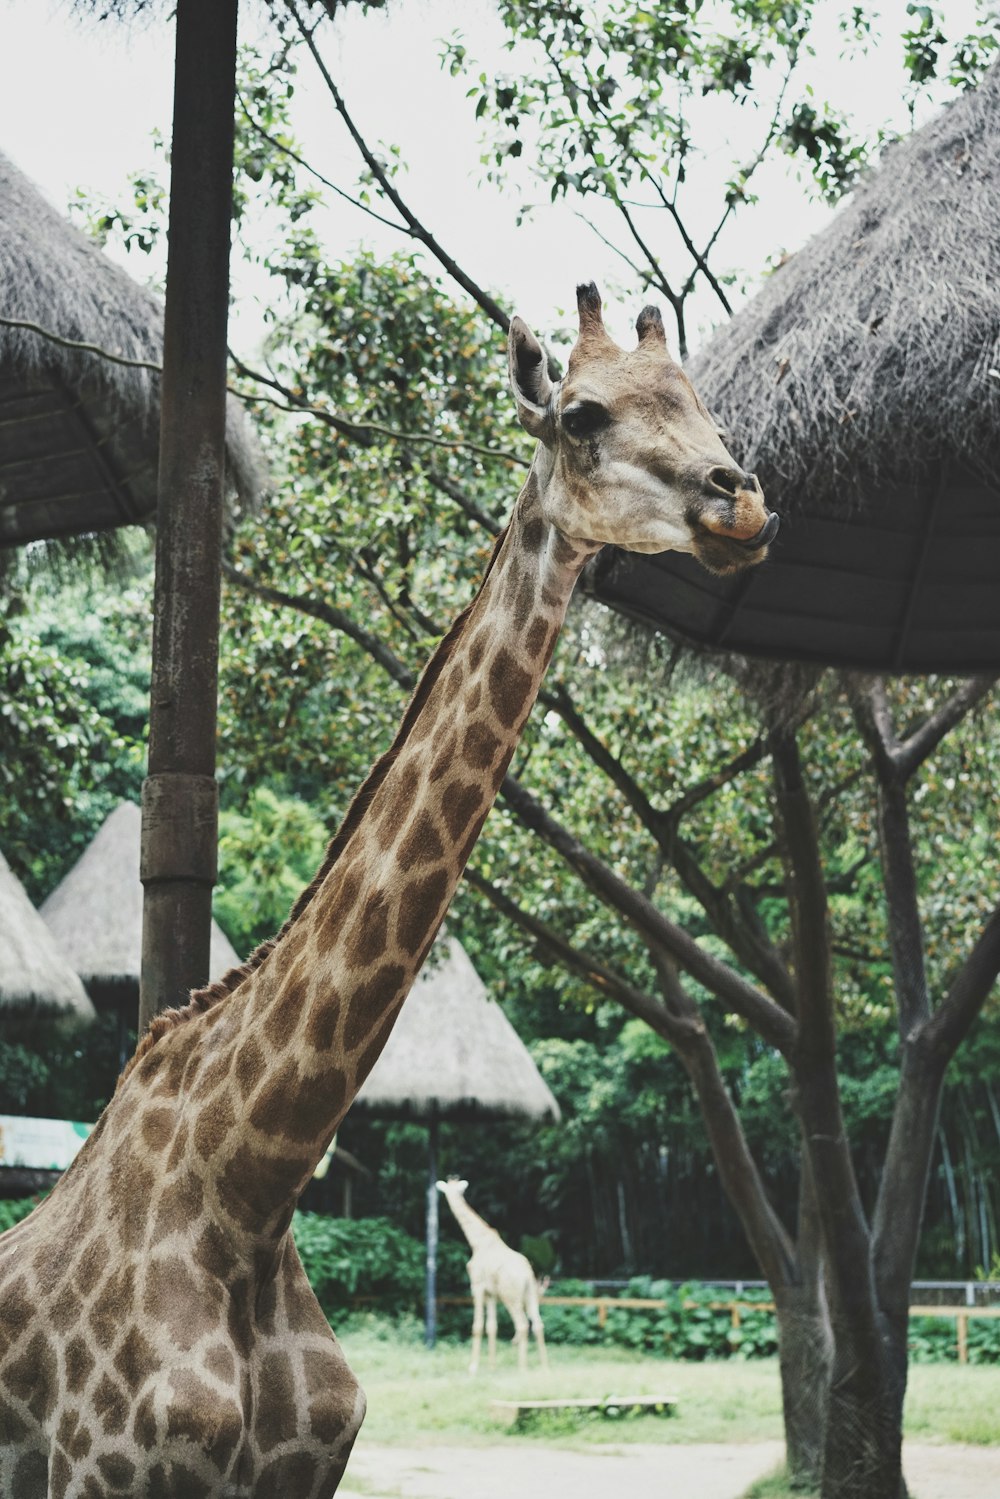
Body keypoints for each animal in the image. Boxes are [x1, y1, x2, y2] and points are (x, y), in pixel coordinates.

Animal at [437, 1175, 548, 1373]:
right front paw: (491, 1366)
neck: (477, 1241)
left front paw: (473, 1367)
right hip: (530, 1295)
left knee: (522, 1324)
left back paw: (522, 1368)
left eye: (453, 1190)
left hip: (510, 1296)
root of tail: (527, 1274)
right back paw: (545, 1367)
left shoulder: (477, 1287)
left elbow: (477, 1326)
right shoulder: (492, 1294)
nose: (449, 1199)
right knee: (537, 1324)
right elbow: (492, 1327)